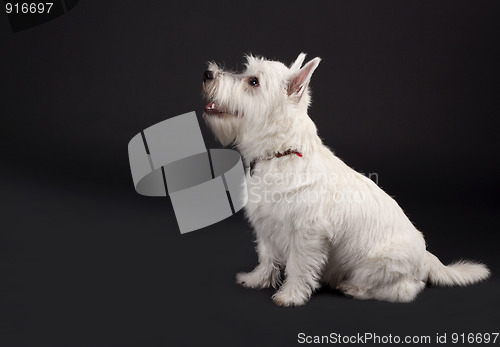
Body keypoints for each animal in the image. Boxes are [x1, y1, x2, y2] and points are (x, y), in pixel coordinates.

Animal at [201, 52, 490, 308]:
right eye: (247, 74)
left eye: (253, 82)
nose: (207, 74)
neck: (282, 152)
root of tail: (428, 257)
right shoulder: (267, 228)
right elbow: (266, 258)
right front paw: (257, 280)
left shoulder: (307, 235)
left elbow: (298, 266)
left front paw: (291, 296)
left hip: (378, 266)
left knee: (404, 289)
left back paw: (352, 288)